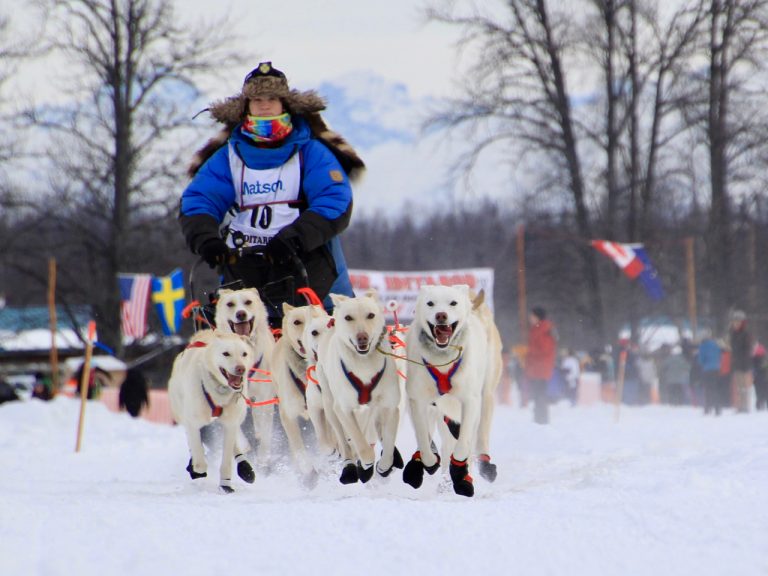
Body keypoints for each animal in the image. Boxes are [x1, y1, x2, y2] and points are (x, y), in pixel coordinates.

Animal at [168, 330, 255, 492]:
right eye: (226, 353)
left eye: (244, 354)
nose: (241, 368)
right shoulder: (193, 423)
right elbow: (199, 461)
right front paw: (196, 468)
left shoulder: (230, 424)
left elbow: (227, 460)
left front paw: (226, 484)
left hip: (236, 418)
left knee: (234, 444)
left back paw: (244, 467)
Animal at [214, 286, 278, 470]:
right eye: (230, 304)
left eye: (248, 302)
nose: (241, 313)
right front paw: (243, 445)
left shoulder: (265, 397)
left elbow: (266, 429)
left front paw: (263, 456)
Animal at [316, 290, 404, 484]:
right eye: (348, 317)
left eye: (370, 315)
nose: (362, 337)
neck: (364, 365)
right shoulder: (344, 410)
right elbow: (361, 444)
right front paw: (365, 464)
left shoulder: (389, 407)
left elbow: (388, 445)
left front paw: (384, 466)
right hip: (331, 407)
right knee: (344, 440)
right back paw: (350, 465)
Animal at [402, 284, 504, 496]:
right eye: (430, 303)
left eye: (453, 303)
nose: (441, 315)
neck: (443, 360)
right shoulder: (419, 401)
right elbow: (425, 442)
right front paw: (428, 462)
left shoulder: (470, 401)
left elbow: (463, 445)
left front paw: (459, 473)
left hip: (486, 396)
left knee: (478, 435)